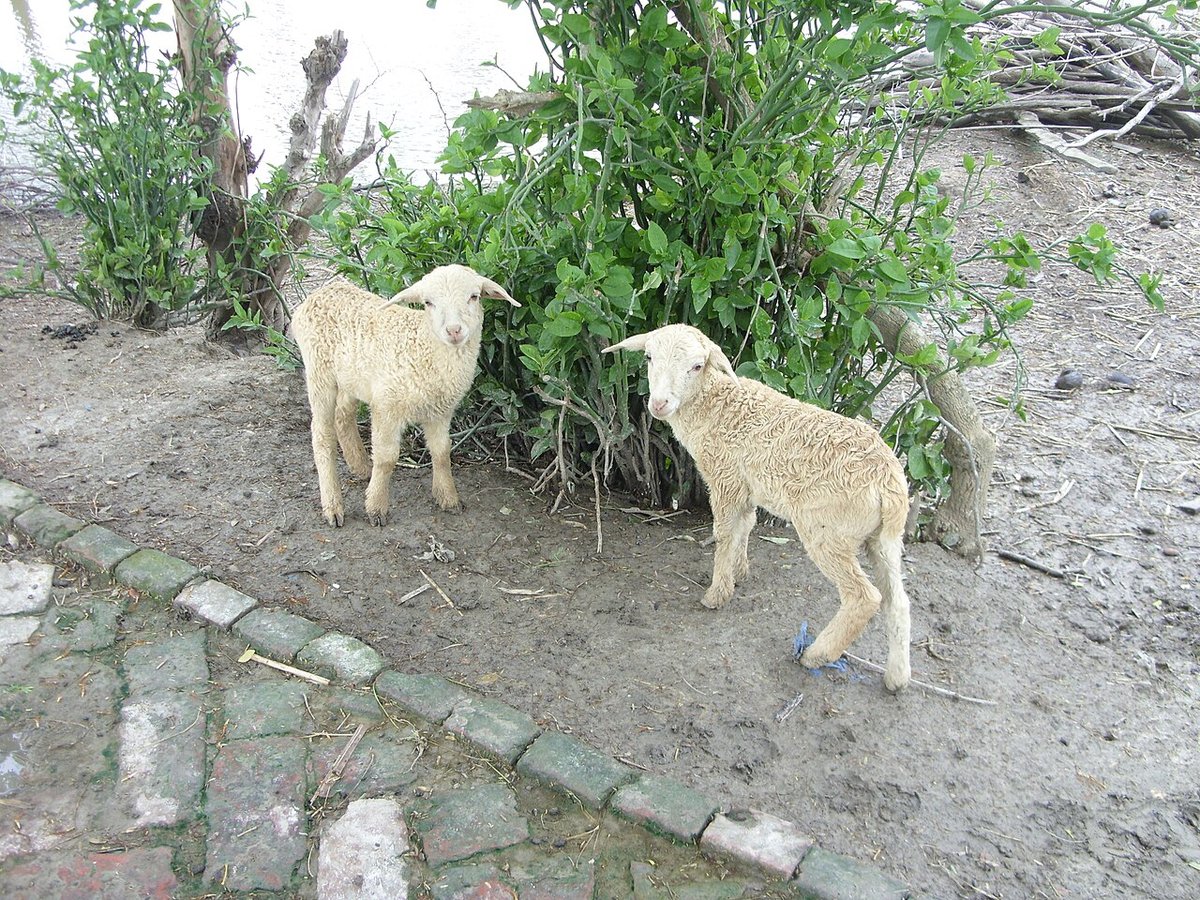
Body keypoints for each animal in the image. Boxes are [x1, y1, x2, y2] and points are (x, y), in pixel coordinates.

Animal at [290, 264, 519, 527]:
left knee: (343, 415)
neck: (424, 348)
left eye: (474, 296)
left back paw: (361, 467)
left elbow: (442, 452)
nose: (454, 330)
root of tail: (319, 293)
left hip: (351, 377)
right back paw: (333, 506)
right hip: (319, 372)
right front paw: (376, 508)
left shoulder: (440, 412)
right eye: (428, 302)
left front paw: (449, 498)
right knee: (322, 435)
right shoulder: (386, 406)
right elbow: (386, 458)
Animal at [604, 324, 911, 691]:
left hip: (827, 530)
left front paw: (717, 593)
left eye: (697, 366)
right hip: (884, 538)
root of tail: (888, 482)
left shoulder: (725, 478)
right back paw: (896, 677)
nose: (660, 404)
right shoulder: (746, 486)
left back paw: (816, 655)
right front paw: (740, 572)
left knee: (864, 597)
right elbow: (746, 525)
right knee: (897, 601)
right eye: (649, 357)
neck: (715, 408)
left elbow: (724, 532)